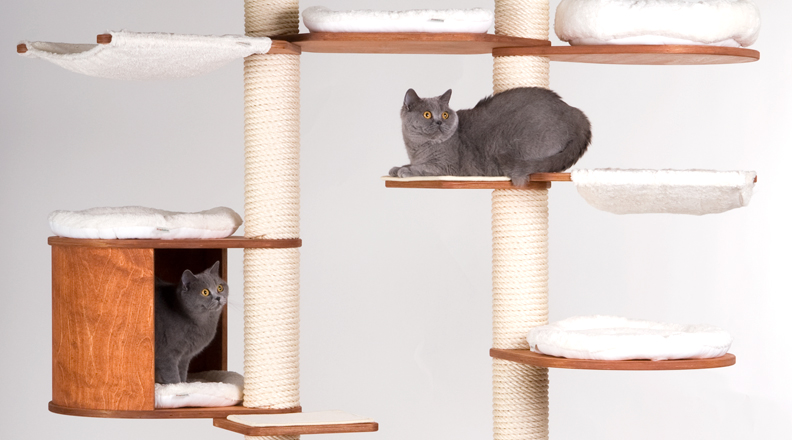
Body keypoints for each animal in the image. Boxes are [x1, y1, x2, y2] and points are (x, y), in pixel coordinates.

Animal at [392, 87, 592, 186]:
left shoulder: (446, 167)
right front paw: (397, 168)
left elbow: (423, 168)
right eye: (427, 114)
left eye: (445, 114)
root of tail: (573, 112)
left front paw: (405, 171)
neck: (418, 148)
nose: (440, 122)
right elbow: (411, 164)